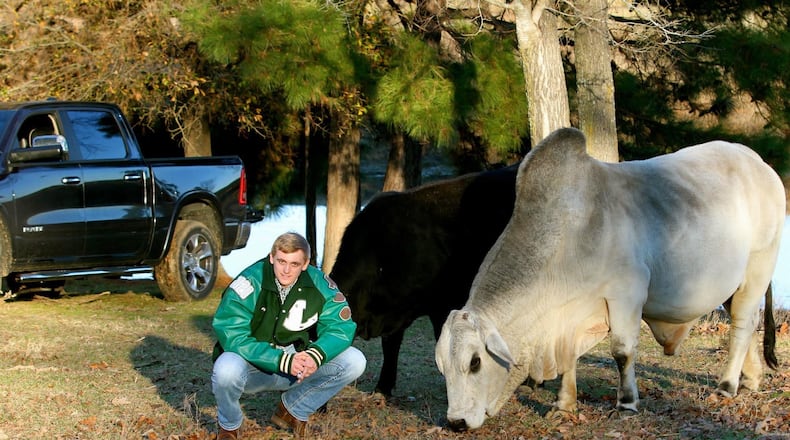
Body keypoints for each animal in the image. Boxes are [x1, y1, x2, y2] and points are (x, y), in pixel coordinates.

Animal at [435, 127, 784, 431]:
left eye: (475, 362)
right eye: (442, 366)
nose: (456, 422)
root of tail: (758, 163)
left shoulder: (626, 295)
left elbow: (622, 352)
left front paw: (626, 403)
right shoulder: (568, 318)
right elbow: (569, 360)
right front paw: (564, 405)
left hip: (758, 267)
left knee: (742, 325)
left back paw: (727, 385)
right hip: (733, 286)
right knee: (747, 324)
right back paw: (750, 380)